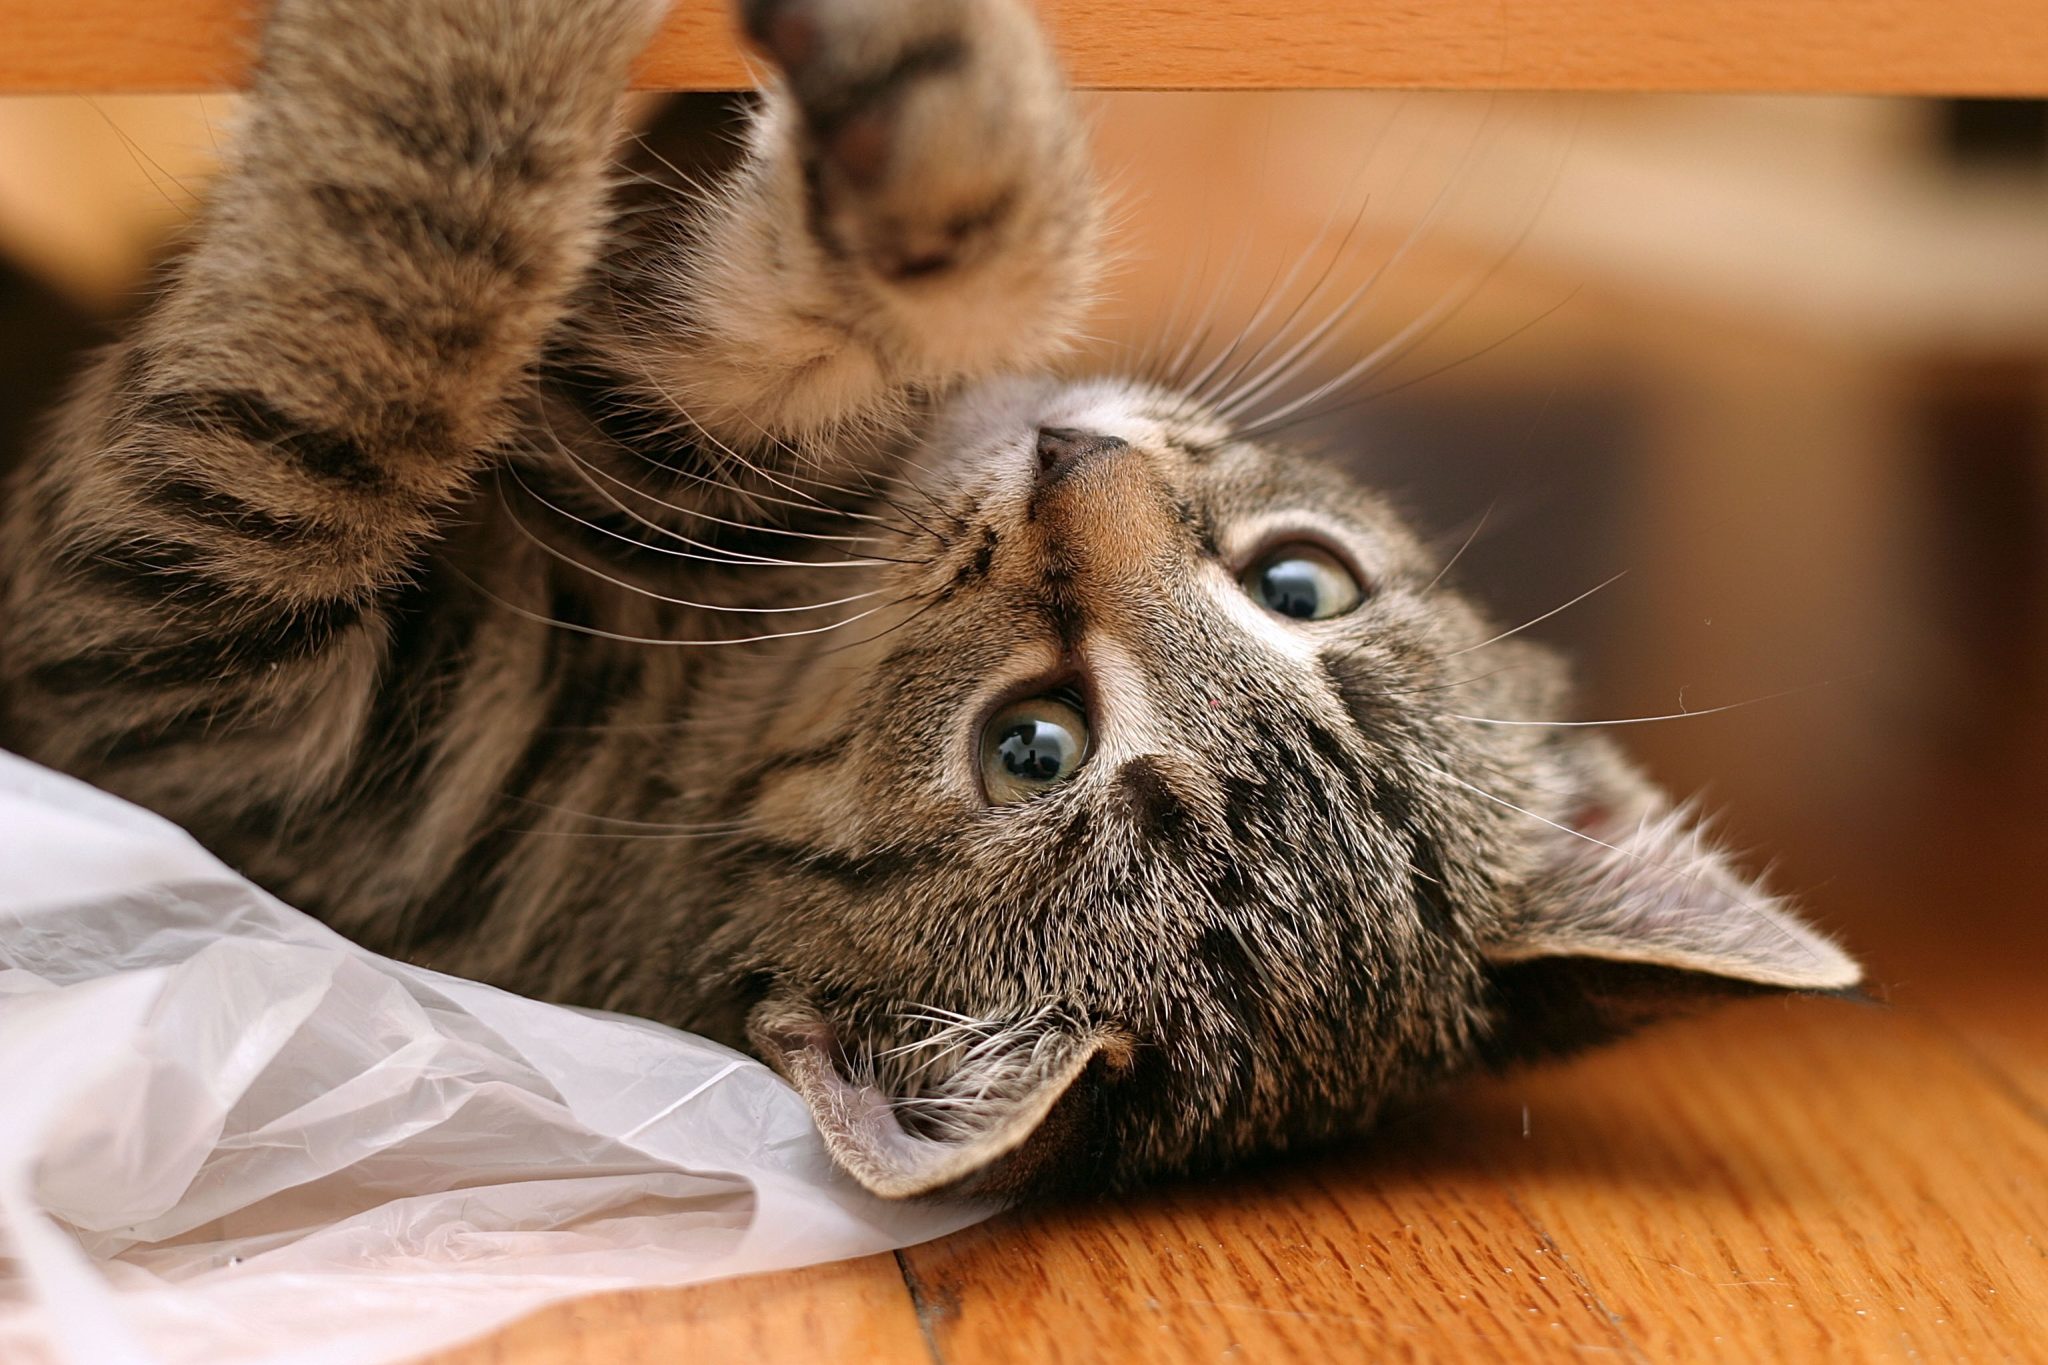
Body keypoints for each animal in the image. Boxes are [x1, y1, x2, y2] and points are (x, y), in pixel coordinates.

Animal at [0, 0, 1859, 1195]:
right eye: (1301, 580)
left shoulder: (183, 635)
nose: (1069, 462)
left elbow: (398, 289)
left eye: (1031, 748)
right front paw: (940, 138)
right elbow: (911, 283)